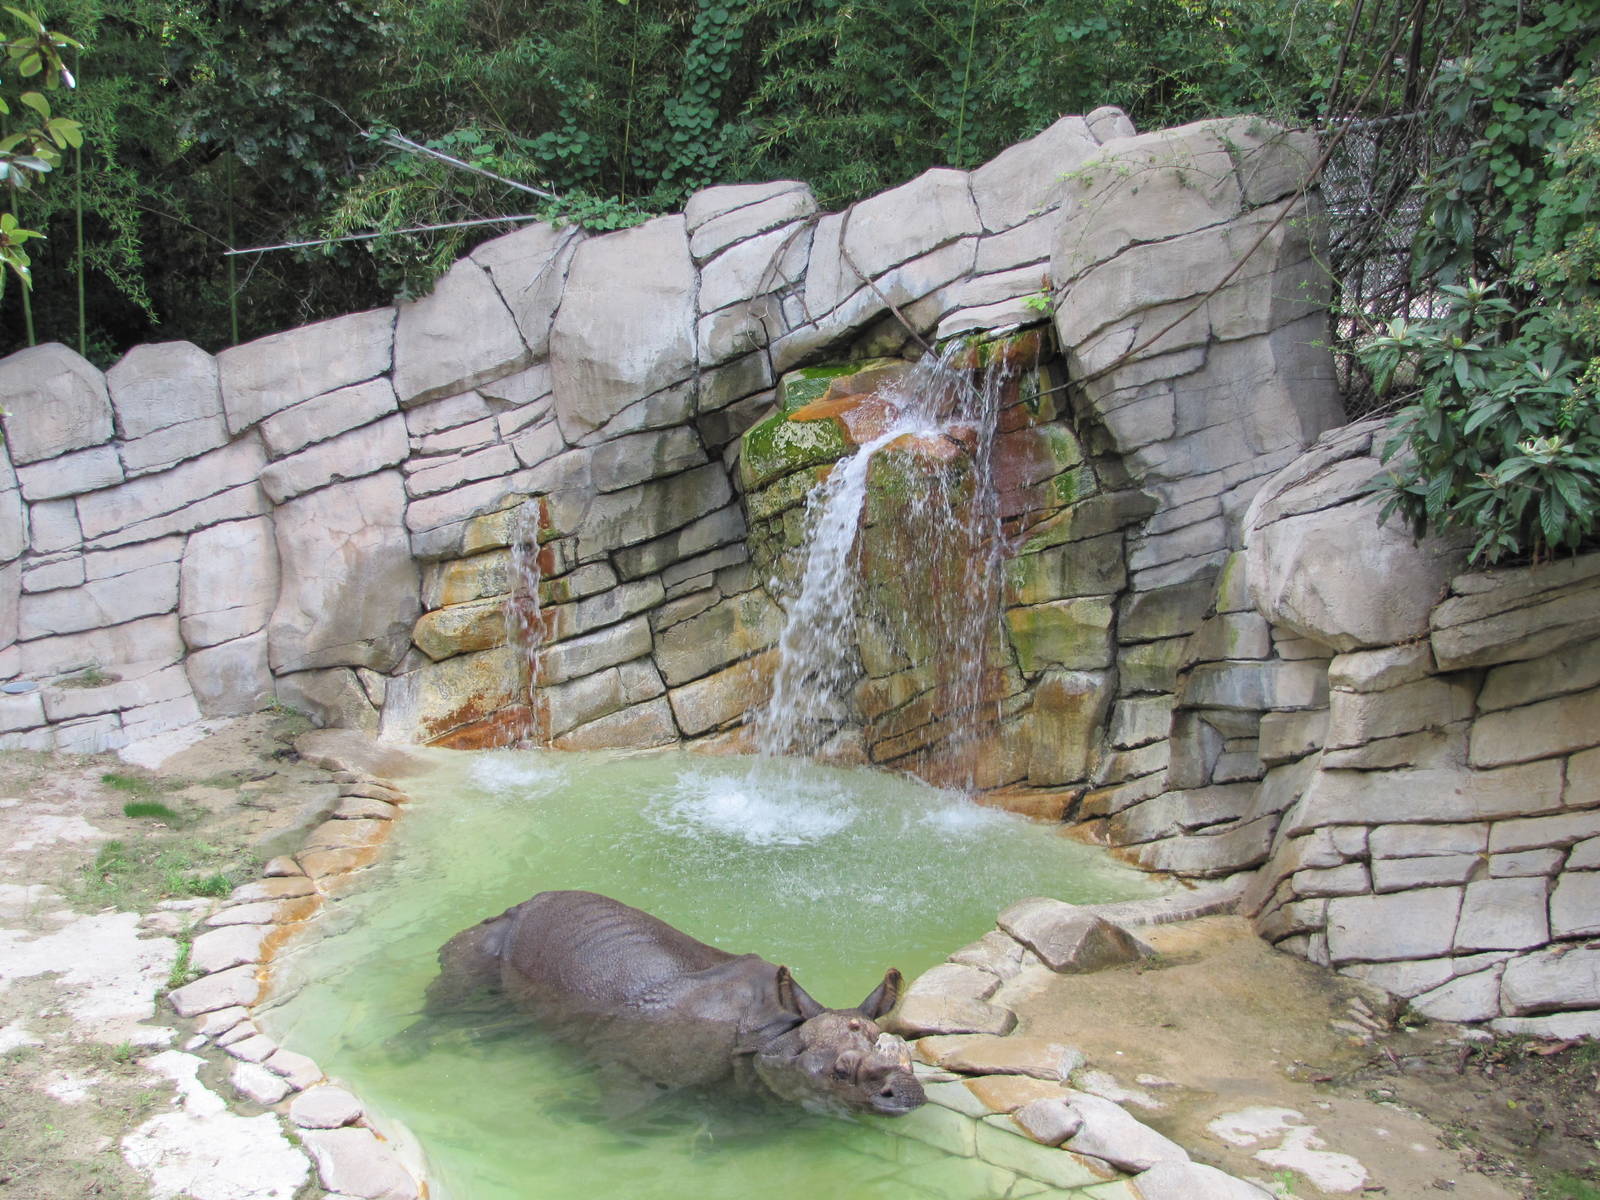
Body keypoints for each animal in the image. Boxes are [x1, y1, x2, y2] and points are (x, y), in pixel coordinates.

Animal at [425, 889, 926, 1116]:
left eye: (909, 1056)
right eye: (840, 1072)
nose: (909, 1096)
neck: (776, 1030)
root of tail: (524, 900)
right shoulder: (628, 1060)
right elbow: (622, 1114)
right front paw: (566, 1110)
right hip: (500, 931)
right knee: (459, 981)